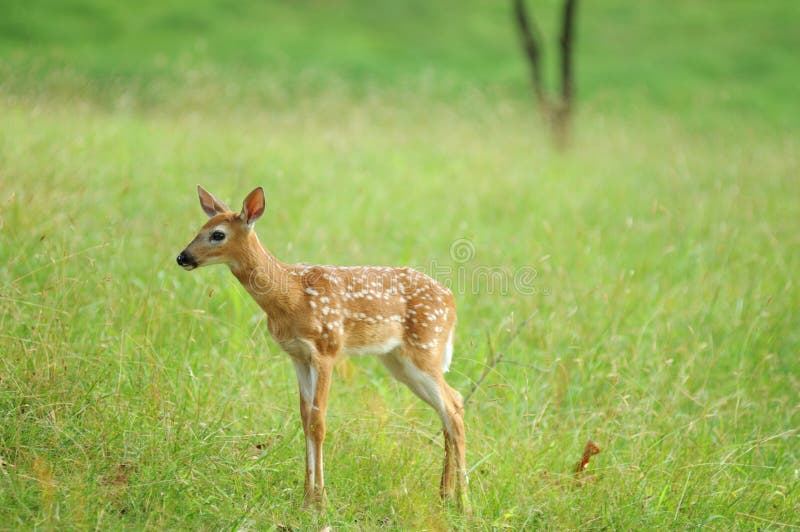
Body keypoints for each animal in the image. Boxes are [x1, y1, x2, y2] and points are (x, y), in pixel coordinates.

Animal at [172, 185, 466, 510]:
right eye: (200, 228)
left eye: (218, 234)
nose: (182, 257)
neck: (290, 295)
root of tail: (452, 302)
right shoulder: (297, 355)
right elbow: (304, 418)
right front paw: (306, 497)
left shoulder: (327, 348)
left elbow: (318, 422)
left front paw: (320, 502)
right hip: (398, 361)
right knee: (450, 404)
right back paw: (445, 495)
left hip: (425, 347)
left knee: (453, 405)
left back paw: (464, 504)